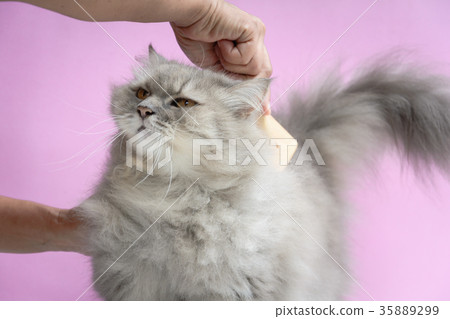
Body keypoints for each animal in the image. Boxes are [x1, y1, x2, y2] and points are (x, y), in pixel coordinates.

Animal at [75, 45, 450, 302]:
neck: (173, 197)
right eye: (140, 93)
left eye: (183, 103)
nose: (143, 110)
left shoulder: (244, 289)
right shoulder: (131, 281)